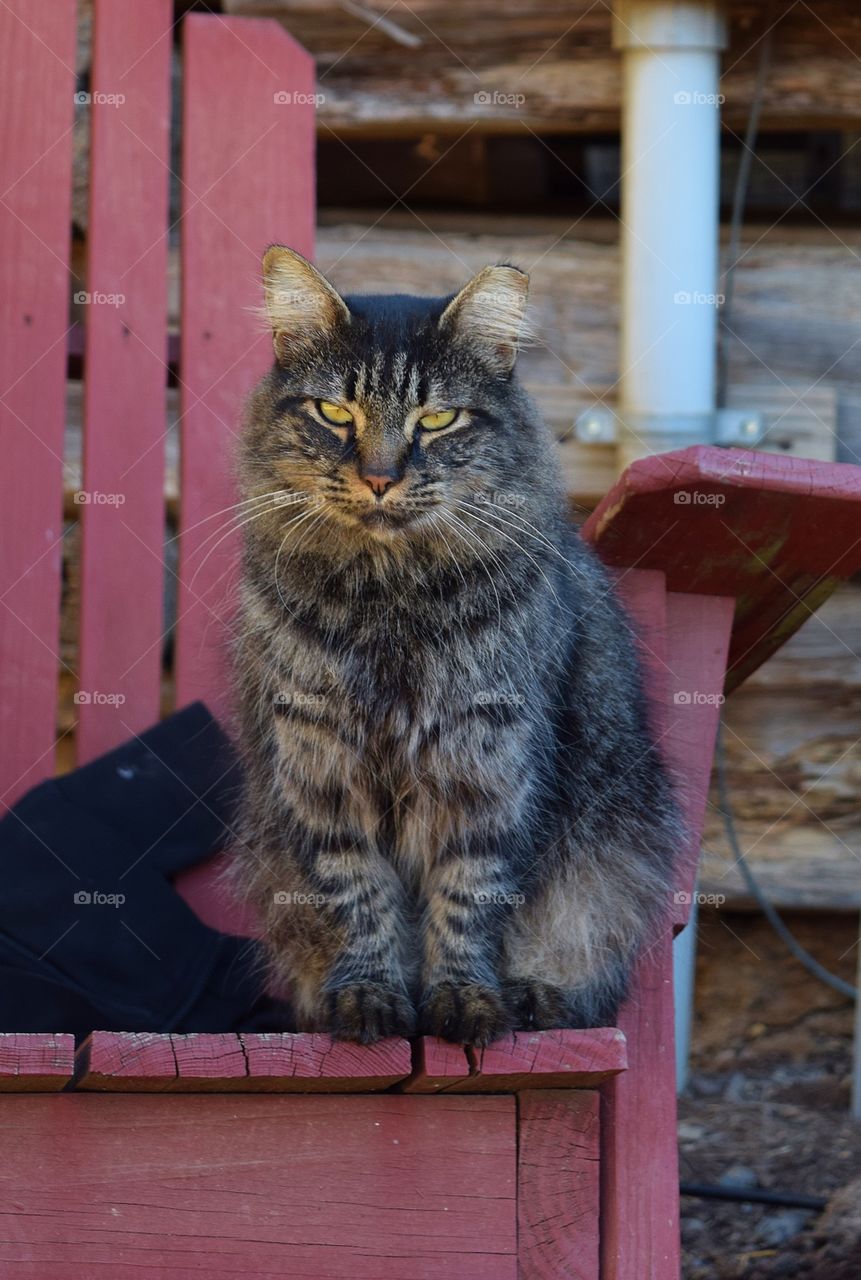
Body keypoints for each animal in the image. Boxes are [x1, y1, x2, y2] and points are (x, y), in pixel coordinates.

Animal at [230, 244, 680, 1044]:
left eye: (436, 419)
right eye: (334, 412)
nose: (379, 478)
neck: (390, 604)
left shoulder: (490, 770)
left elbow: (468, 898)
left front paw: (465, 1003)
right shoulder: (320, 770)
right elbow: (360, 900)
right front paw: (370, 999)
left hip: (620, 845)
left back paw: (532, 997)